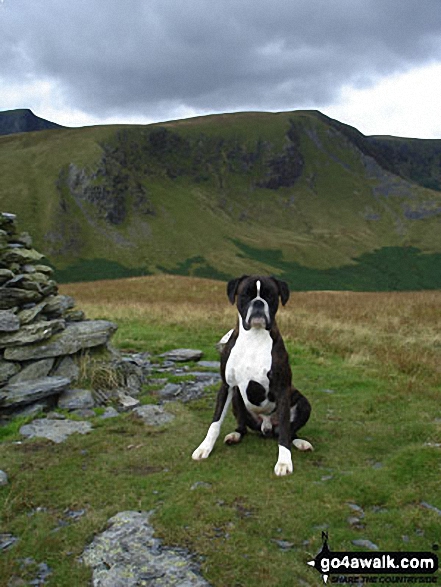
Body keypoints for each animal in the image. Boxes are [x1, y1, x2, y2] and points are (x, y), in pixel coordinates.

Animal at [192, 276, 312, 478]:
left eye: (270, 295)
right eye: (245, 295)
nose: (258, 303)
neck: (254, 337)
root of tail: (267, 427)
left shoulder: (282, 389)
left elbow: (285, 430)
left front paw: (284, 462)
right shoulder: (227, 386)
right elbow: (215, 421)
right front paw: (204, 448)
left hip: (303, 403)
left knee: (288, 431)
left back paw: (300, 442)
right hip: (236, 399)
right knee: (243, 426)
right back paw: (235, 435)